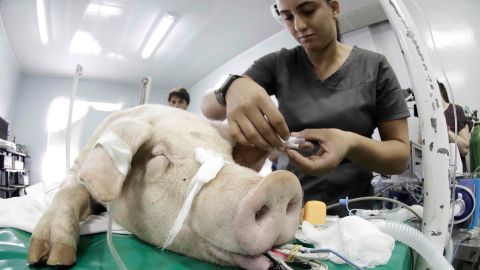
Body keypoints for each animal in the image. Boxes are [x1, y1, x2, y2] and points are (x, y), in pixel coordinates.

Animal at [28, 104, 302, 268]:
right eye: (158, 156)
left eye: (228, 155)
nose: (281, 183)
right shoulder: (78, 167)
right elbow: (70, 190)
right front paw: (51, 258)